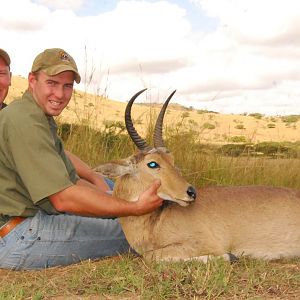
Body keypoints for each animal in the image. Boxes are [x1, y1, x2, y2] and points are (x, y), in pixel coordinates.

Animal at [95, 89, 300, 262]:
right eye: (153, 163)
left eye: (172, 160)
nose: (191, 192)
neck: (156, 222)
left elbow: (152, 257)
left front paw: (229, 257)